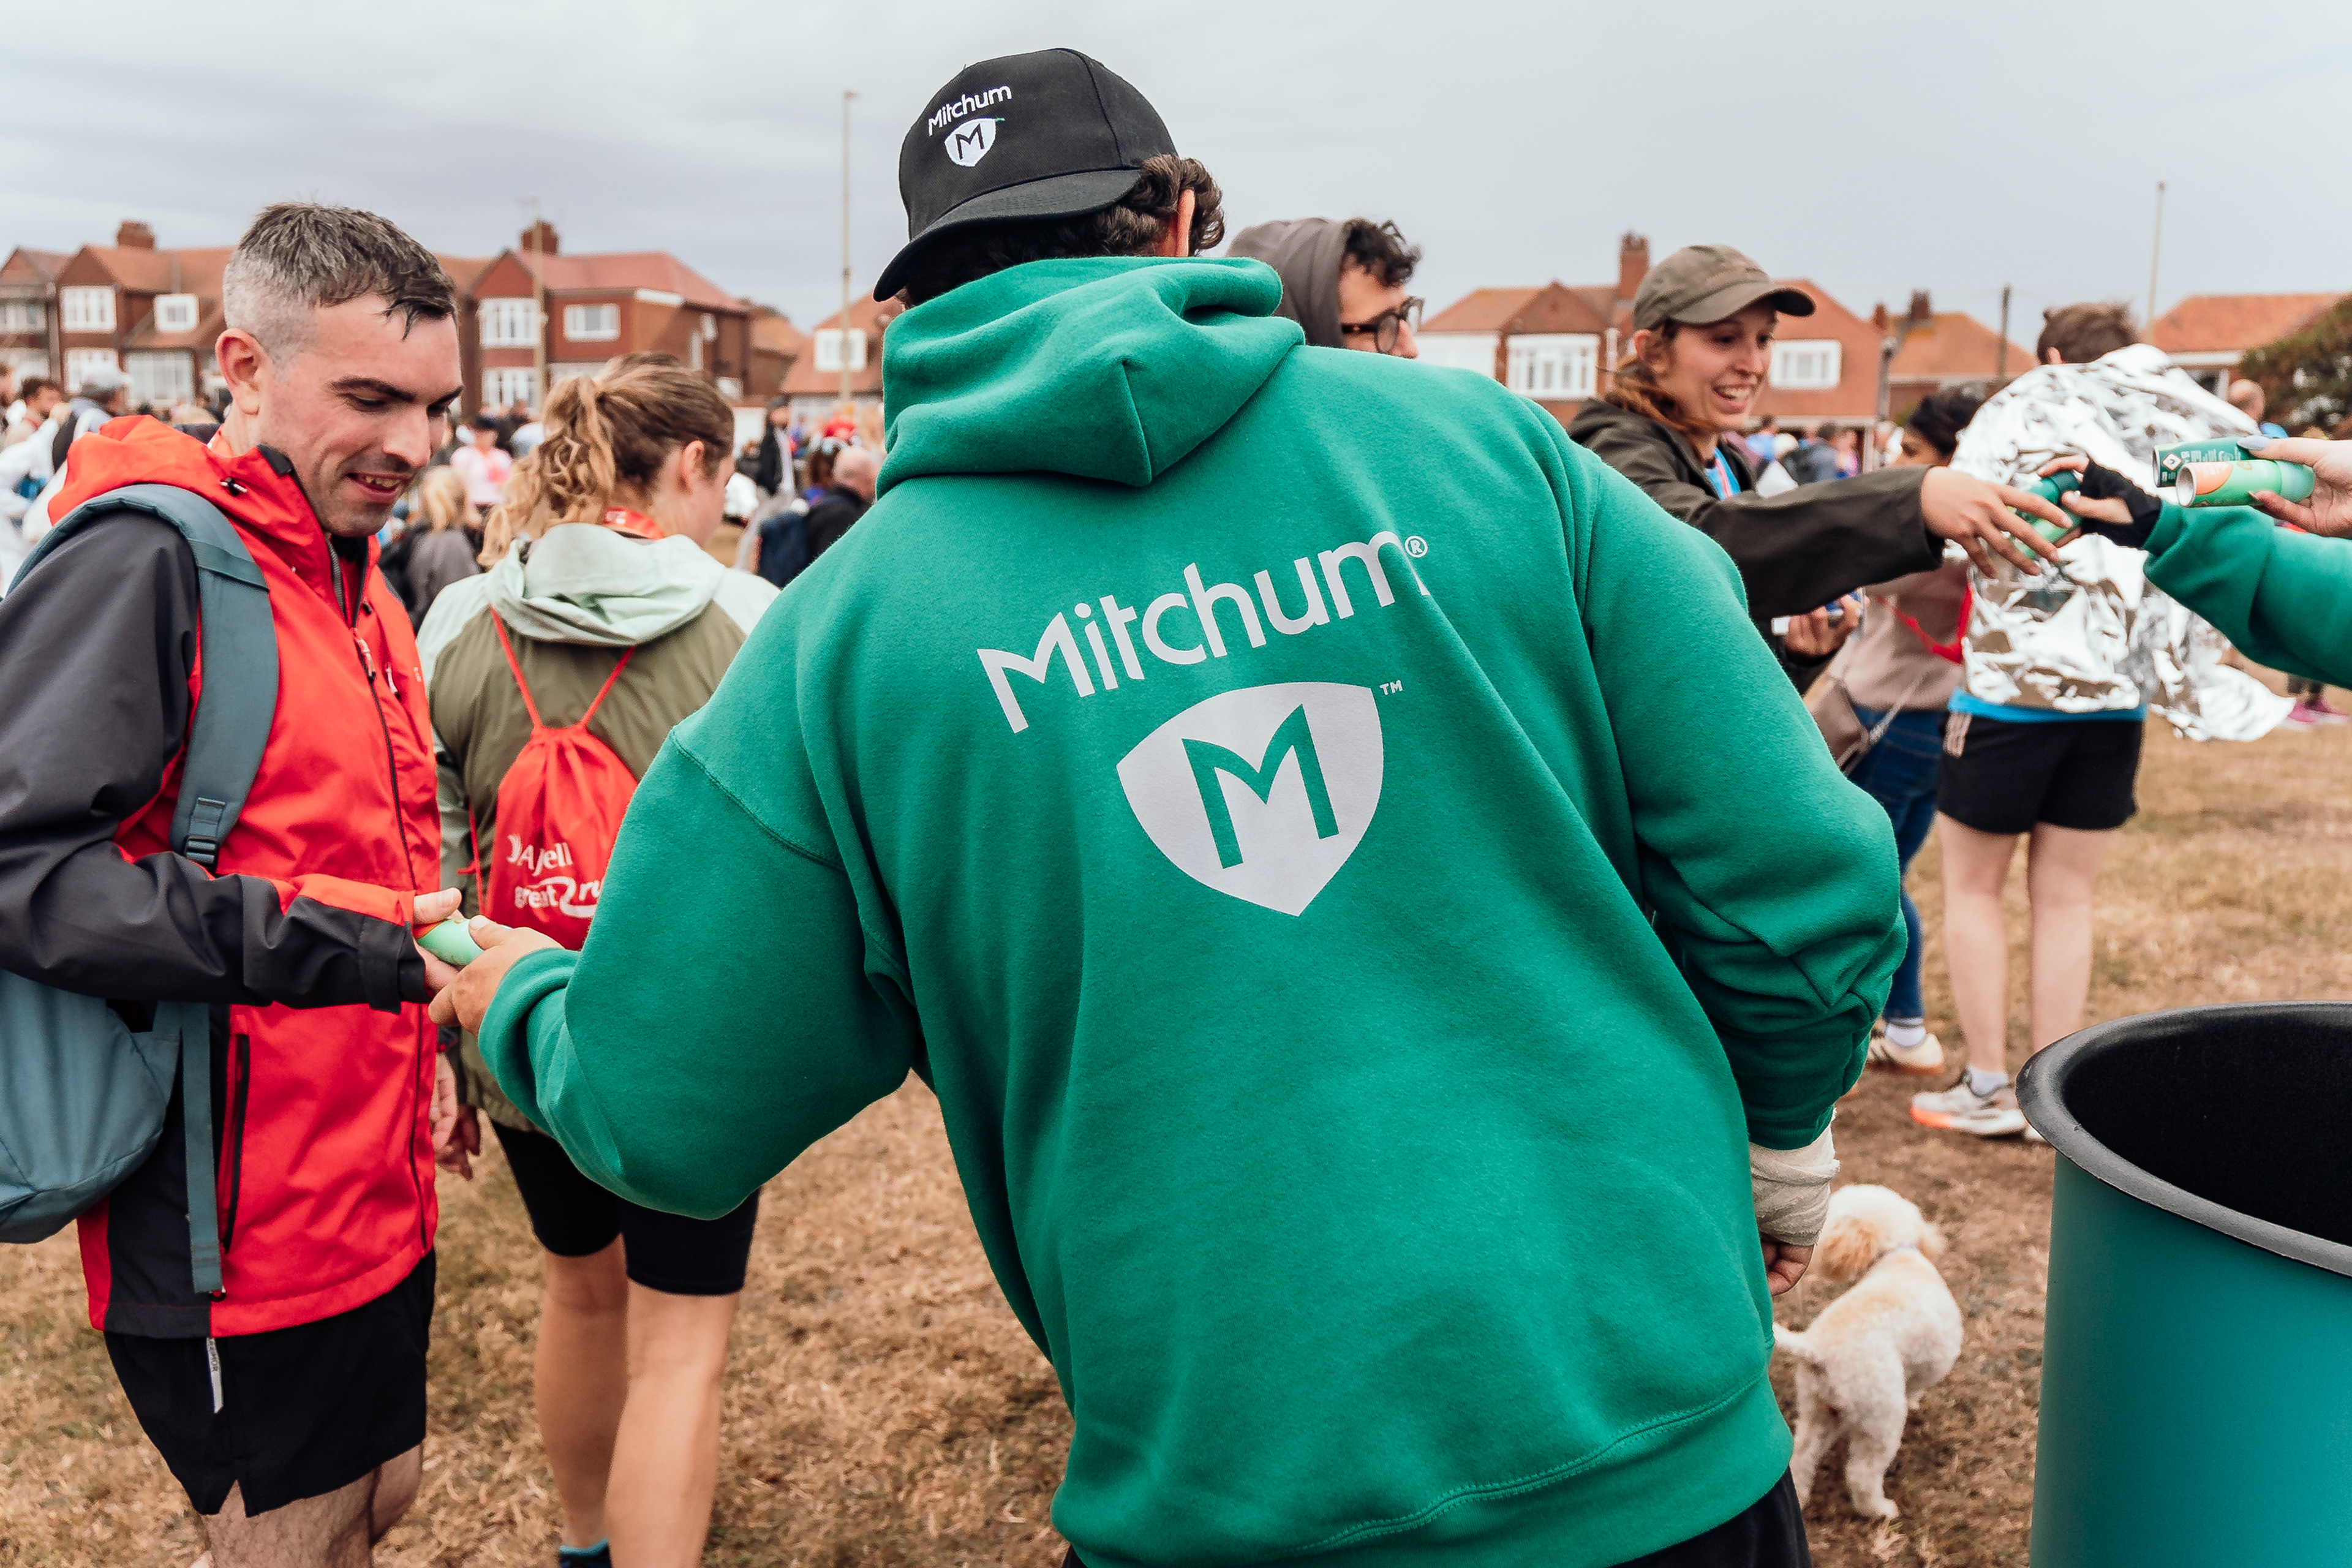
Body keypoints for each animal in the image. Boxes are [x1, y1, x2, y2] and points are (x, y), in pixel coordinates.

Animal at [1772, 1184, 1962, 1519]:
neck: (1897, 1256)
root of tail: (1817, 1350)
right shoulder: (1936, 1360)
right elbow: (1918, 1385)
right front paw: (1916, 1401)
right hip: (1881, 1418)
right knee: (1861, 1473)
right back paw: (1880, 1510)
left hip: (1816, 1409)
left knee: (1803, 1457)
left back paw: (1802, 1497)